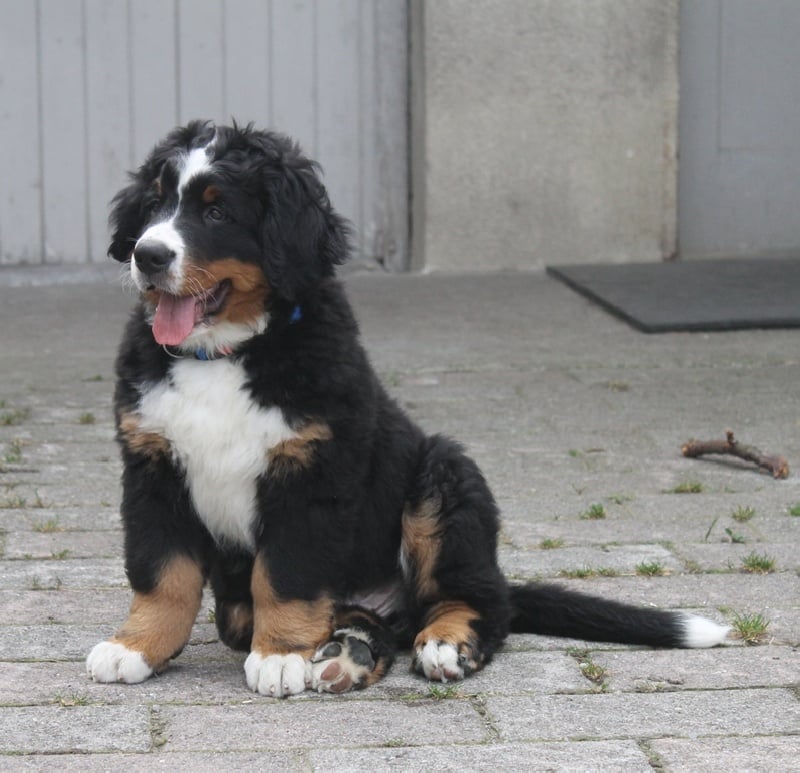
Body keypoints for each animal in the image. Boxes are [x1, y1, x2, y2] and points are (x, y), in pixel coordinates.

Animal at [84, 120, 728, 692]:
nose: (147, 255)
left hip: (443, 481)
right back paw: (347, 656)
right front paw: (136, 646)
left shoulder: (311, 478)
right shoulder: (152, 467)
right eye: (154, 206)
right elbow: (163, 574)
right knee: (361, 622)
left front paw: (281, 654)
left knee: (476, 600)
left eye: (216, 213)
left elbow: (286, 574)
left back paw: (442, 643)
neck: (224, 353)